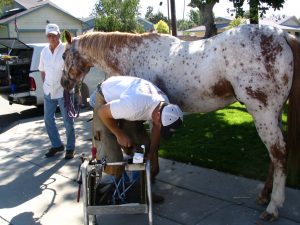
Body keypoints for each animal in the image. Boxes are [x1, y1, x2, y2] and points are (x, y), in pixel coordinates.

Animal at [61, 23, 300, 221]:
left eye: (63, 55)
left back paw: (272, 207)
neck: (133, 54)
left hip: (263, 113)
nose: (64, 83)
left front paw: (151, 177)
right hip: (272, 114)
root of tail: (282, 35)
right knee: (275, 155)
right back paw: (263, 195)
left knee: (278, 153)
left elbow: (150, 145)